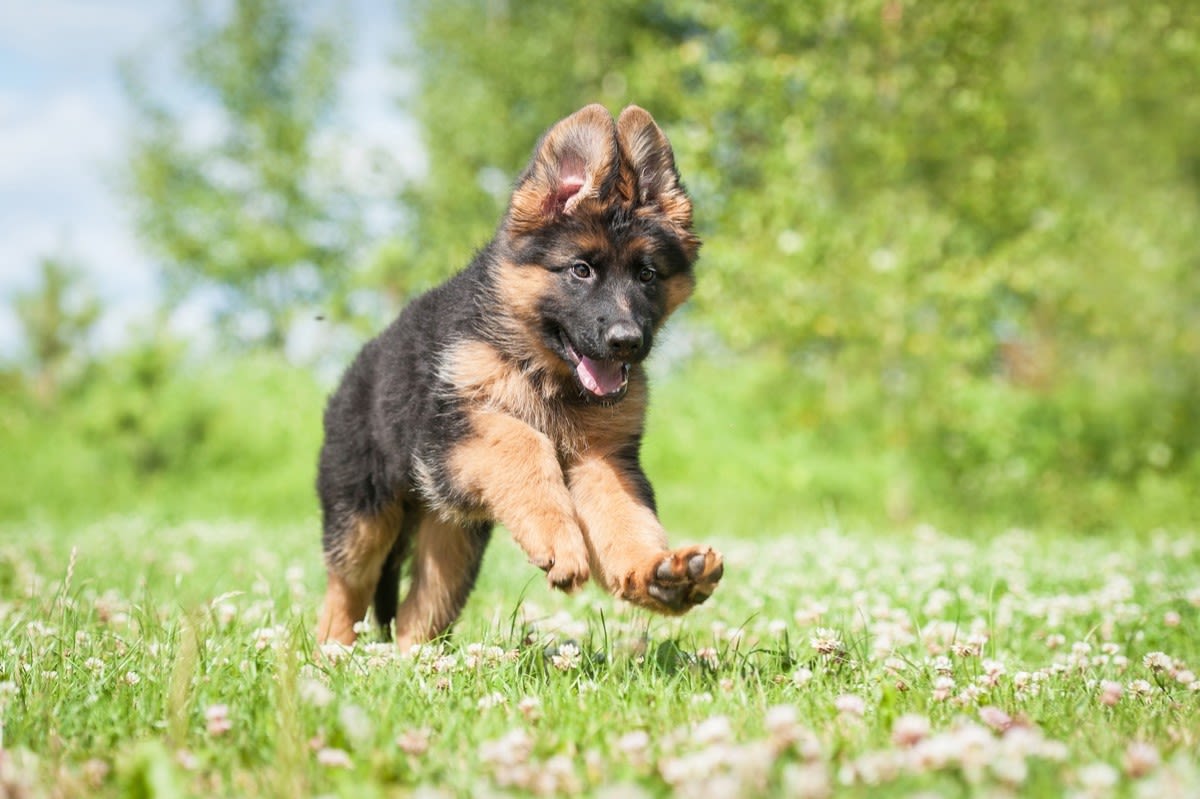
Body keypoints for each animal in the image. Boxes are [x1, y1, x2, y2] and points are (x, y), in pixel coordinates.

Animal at [316, 104, 720, 647]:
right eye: (581, 270)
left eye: (647, 274)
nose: (626, 341)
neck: (543, 371)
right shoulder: (450, 436)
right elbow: (524, 440)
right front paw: (559, 539)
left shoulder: (604, 457)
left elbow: (625, 515)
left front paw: (657, 572)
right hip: (364, 517)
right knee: (346, 590)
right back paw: (331, 653)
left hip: (453, 538)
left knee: (420, 612)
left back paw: (411, 661)